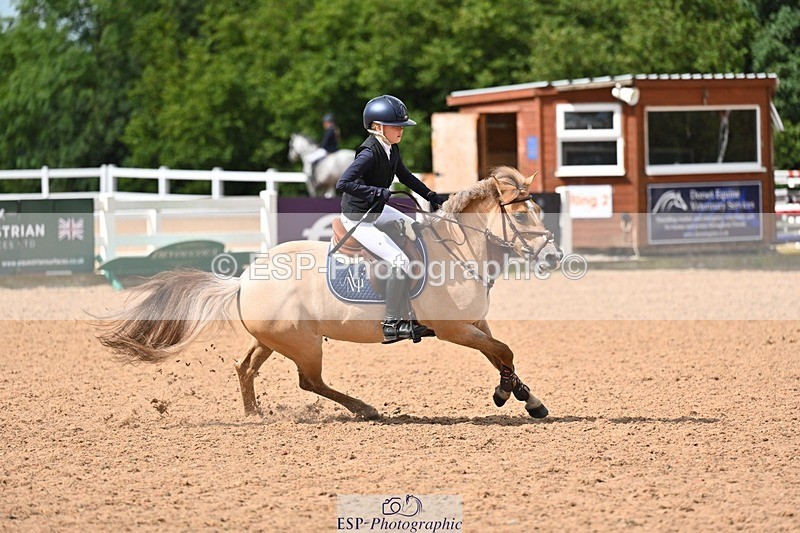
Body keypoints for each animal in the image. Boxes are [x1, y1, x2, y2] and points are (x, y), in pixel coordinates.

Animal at [95, 166, 563, 420]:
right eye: (523, 215)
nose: (554, 257)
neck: (460, 250)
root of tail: (244, 279)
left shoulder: (474, 323)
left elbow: (502, 355)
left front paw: (527, 399)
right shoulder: (453, 329)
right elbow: (503, 352)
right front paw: (508, 396)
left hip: (274, 339)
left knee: (246, 369)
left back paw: (255, 416)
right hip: (303, 344)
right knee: (309, 381)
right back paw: (365, 409)